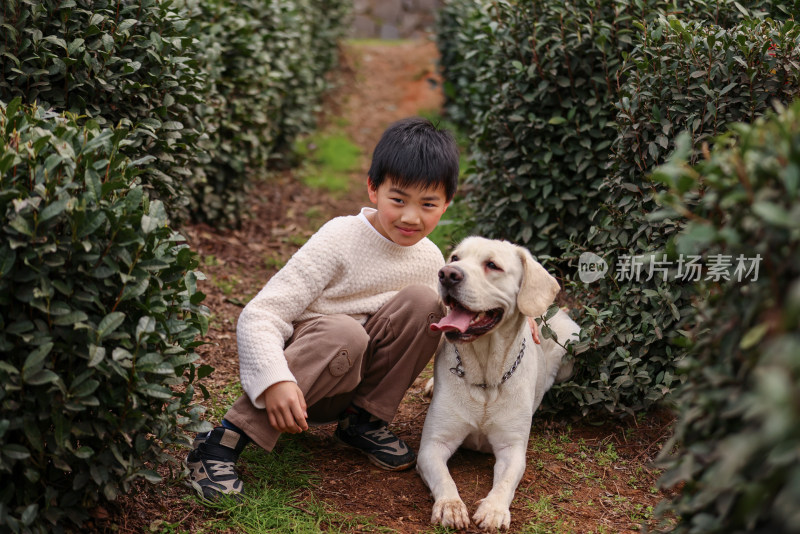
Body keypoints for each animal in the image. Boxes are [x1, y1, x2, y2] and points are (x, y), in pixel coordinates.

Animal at [416, 238, 580, 532]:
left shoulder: (512, 449)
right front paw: (450, 506)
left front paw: (493, 510)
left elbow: (505, 482)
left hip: (569, 349)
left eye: (492, 265)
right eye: (455, 258)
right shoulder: (433, 444)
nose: (447, 274)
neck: (486, 378)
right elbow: (445, 478)